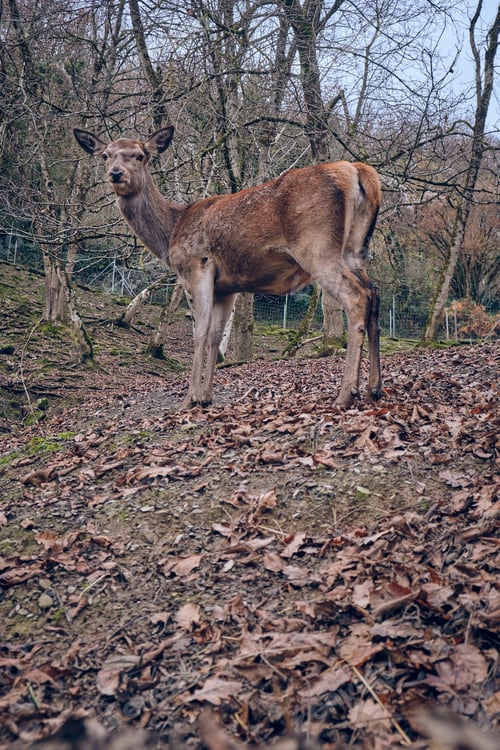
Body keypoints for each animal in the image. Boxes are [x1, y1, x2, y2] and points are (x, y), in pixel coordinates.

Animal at [73, 125, 382, 409]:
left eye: (140, 155)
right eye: (105, 155)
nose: (116, 174)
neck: (171, 232)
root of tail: (357, 171)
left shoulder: (198, 265)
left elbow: (199, 332)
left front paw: (188, 398)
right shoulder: (227, 286)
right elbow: (215, 336)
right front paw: (205, 396)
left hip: (317, 248)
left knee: (356, 296)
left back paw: (345, 394)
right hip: (356, 250)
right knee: (374, 292)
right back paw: (374, 389)